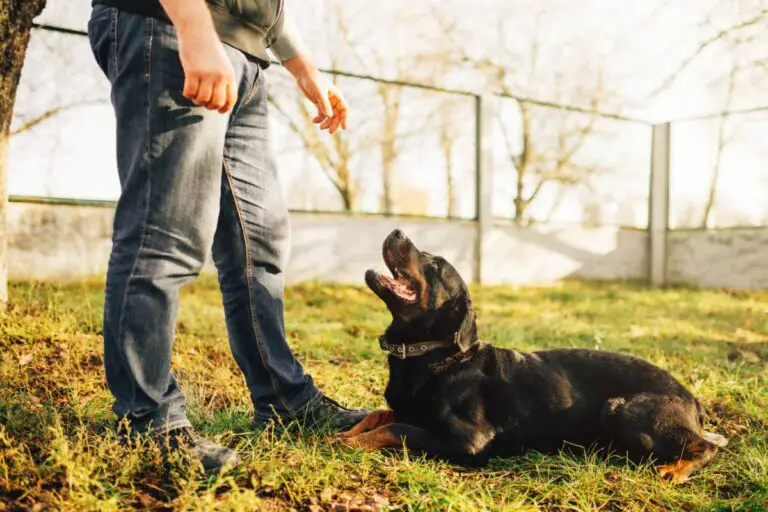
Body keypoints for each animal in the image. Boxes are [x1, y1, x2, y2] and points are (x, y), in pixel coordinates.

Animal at [336, 230, 728, 482]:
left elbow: (397, 428)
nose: (397, 230)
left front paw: (351, 442)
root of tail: (691, 398)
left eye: (436, 265)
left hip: (622, 409)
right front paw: (348, 431)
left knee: (707, 447)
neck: (435, 356)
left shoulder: (468, 441)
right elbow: (380, 414)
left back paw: (675, 470)